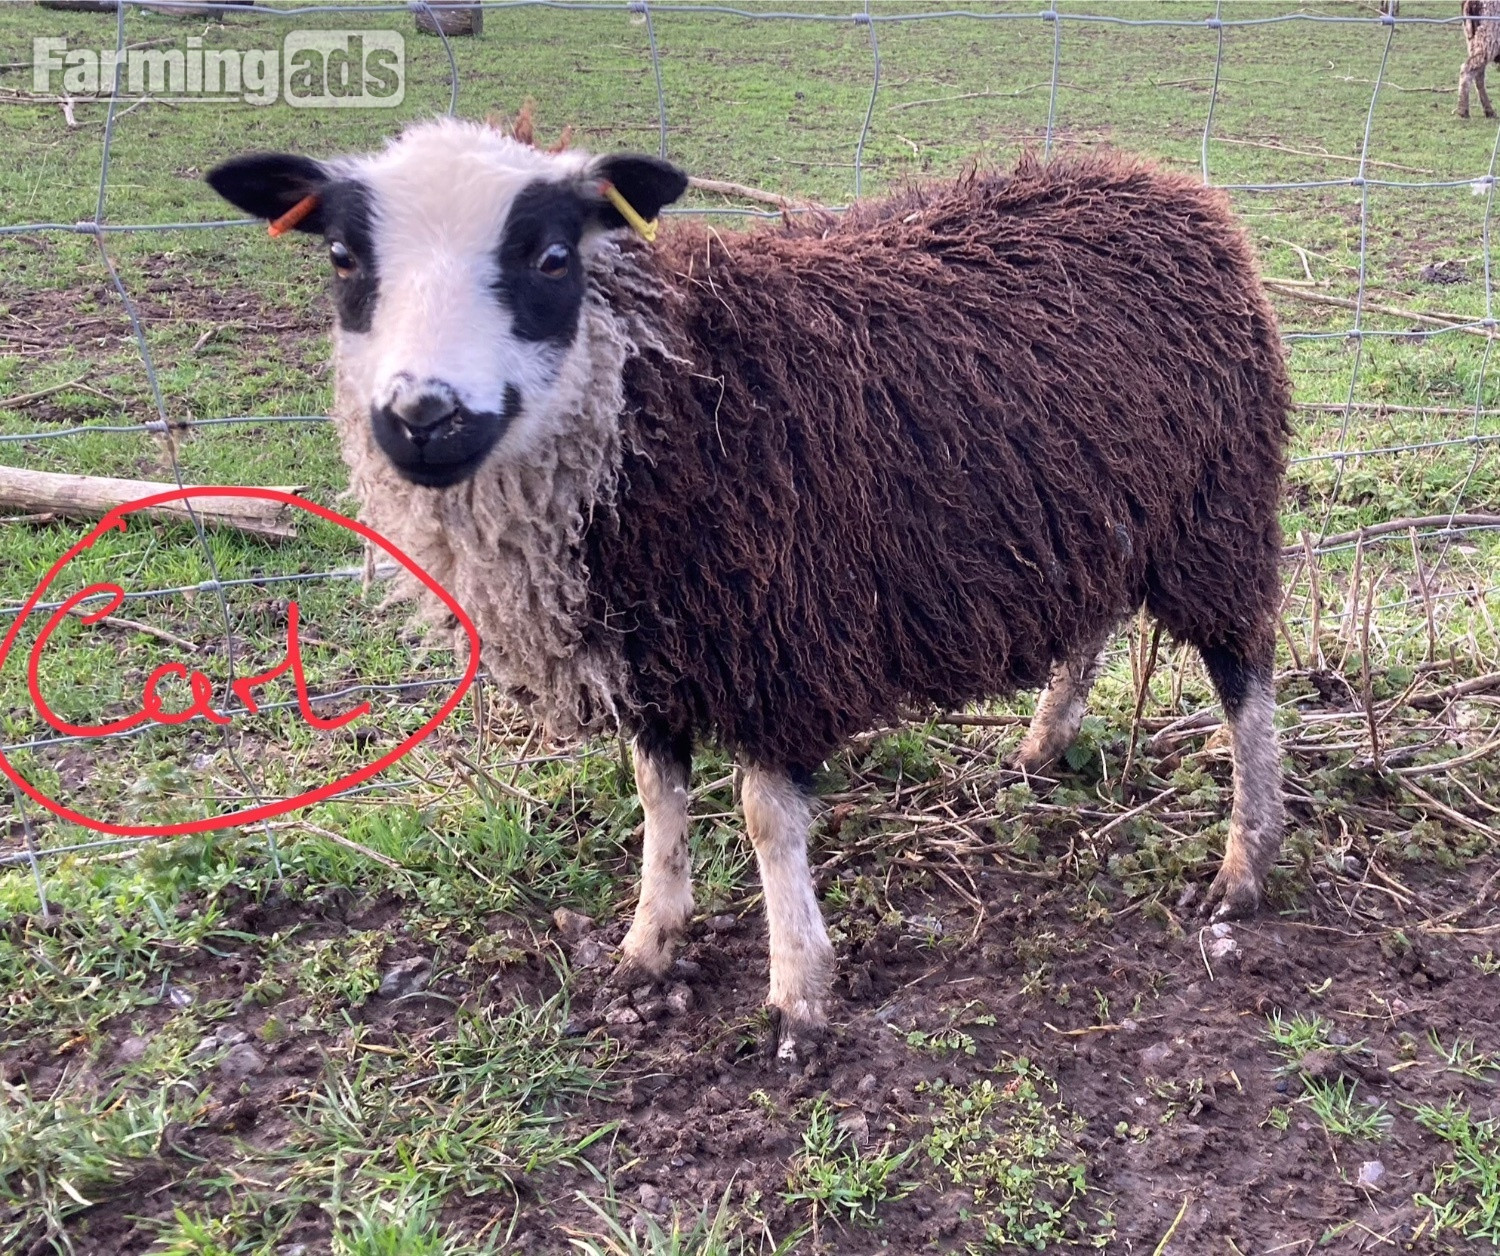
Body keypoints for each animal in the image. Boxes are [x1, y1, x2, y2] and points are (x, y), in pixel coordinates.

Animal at [208, 118, 1293, 1061]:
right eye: (343, 258)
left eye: (551, 257)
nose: (423, 418)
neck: (663, 398)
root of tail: (1166, 187)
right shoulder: (648, 652)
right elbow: (658, 797)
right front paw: (649, 943)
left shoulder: (780, 639)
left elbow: (768, 819)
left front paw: (797, 993)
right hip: (1095, 514)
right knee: (1093, 621)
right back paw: (1041, 744)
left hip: (1215, 508)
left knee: (1245, 675)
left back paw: (1243, 863)